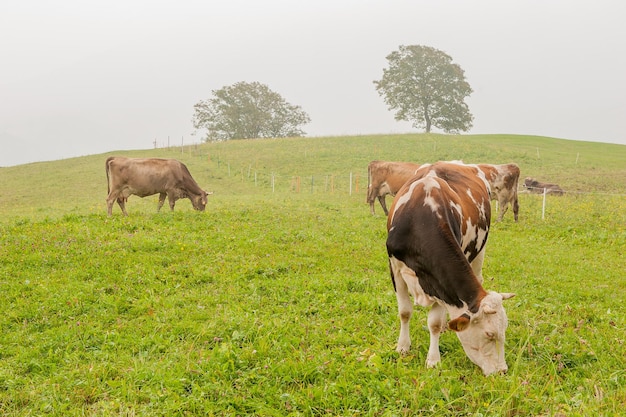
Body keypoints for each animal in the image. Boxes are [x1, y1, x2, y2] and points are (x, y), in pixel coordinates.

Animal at [386, 161, 512, 376]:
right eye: (489, 334)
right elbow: (404, 312)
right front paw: (402, 347)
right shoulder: (395, 267)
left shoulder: (440, 285)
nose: (502, 371)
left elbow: (434, 323)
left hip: (480, 250)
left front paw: (433, 360)